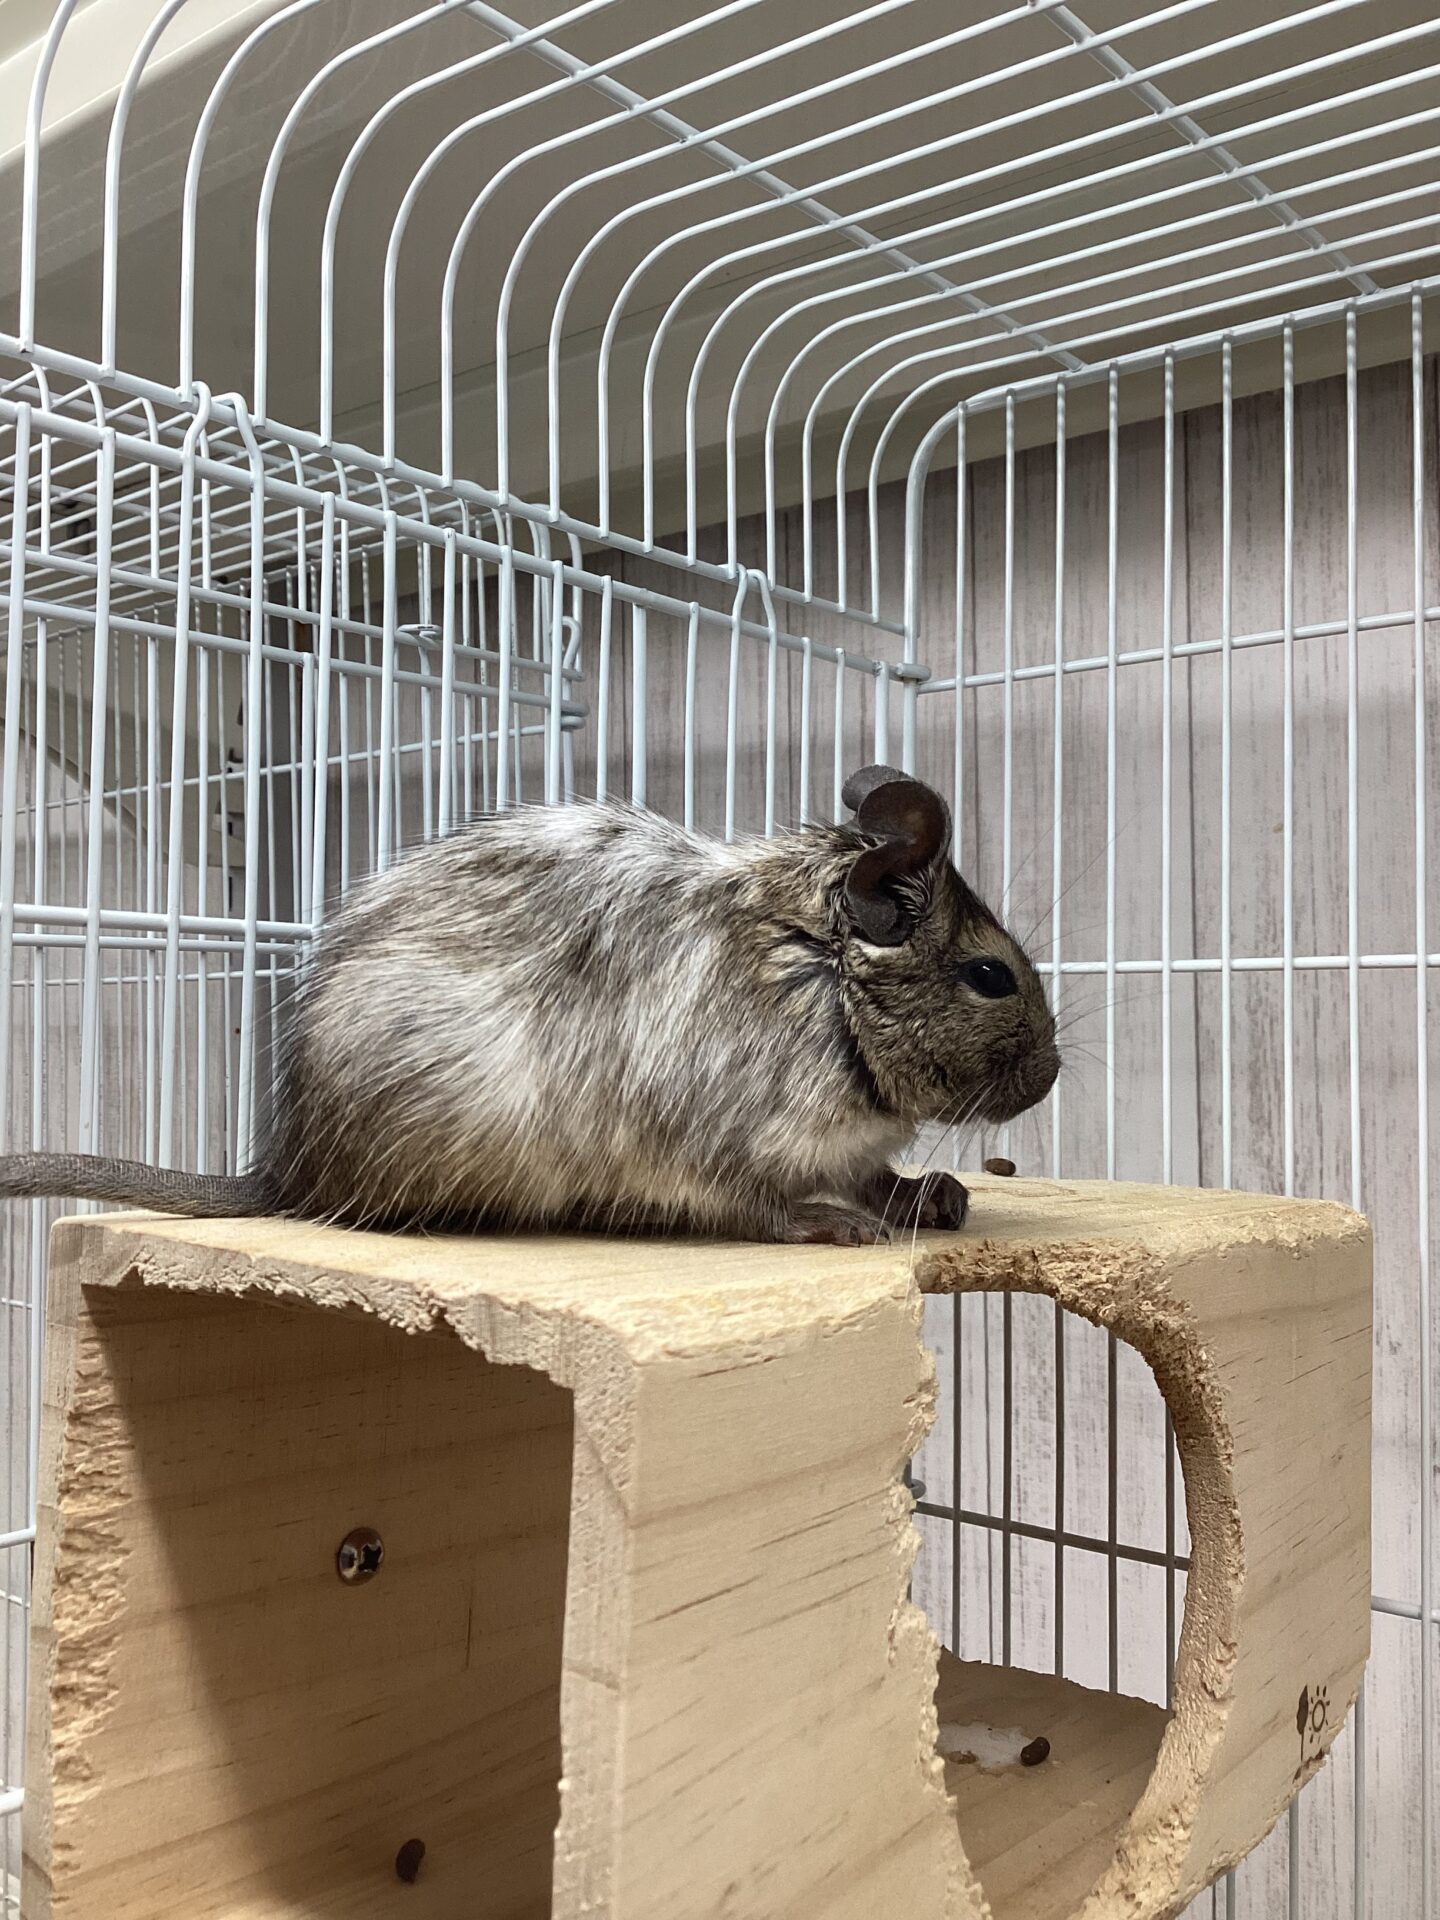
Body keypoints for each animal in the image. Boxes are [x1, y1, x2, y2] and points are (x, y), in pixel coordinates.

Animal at [0, 766, 1059, 1246]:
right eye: (992, 976)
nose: (1051, 1076)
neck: (825, 986)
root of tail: (286, 1171)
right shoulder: (711, 1134)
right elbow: (759, 1203)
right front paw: (834, 1225)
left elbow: (879, 1174)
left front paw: (933, 1194)